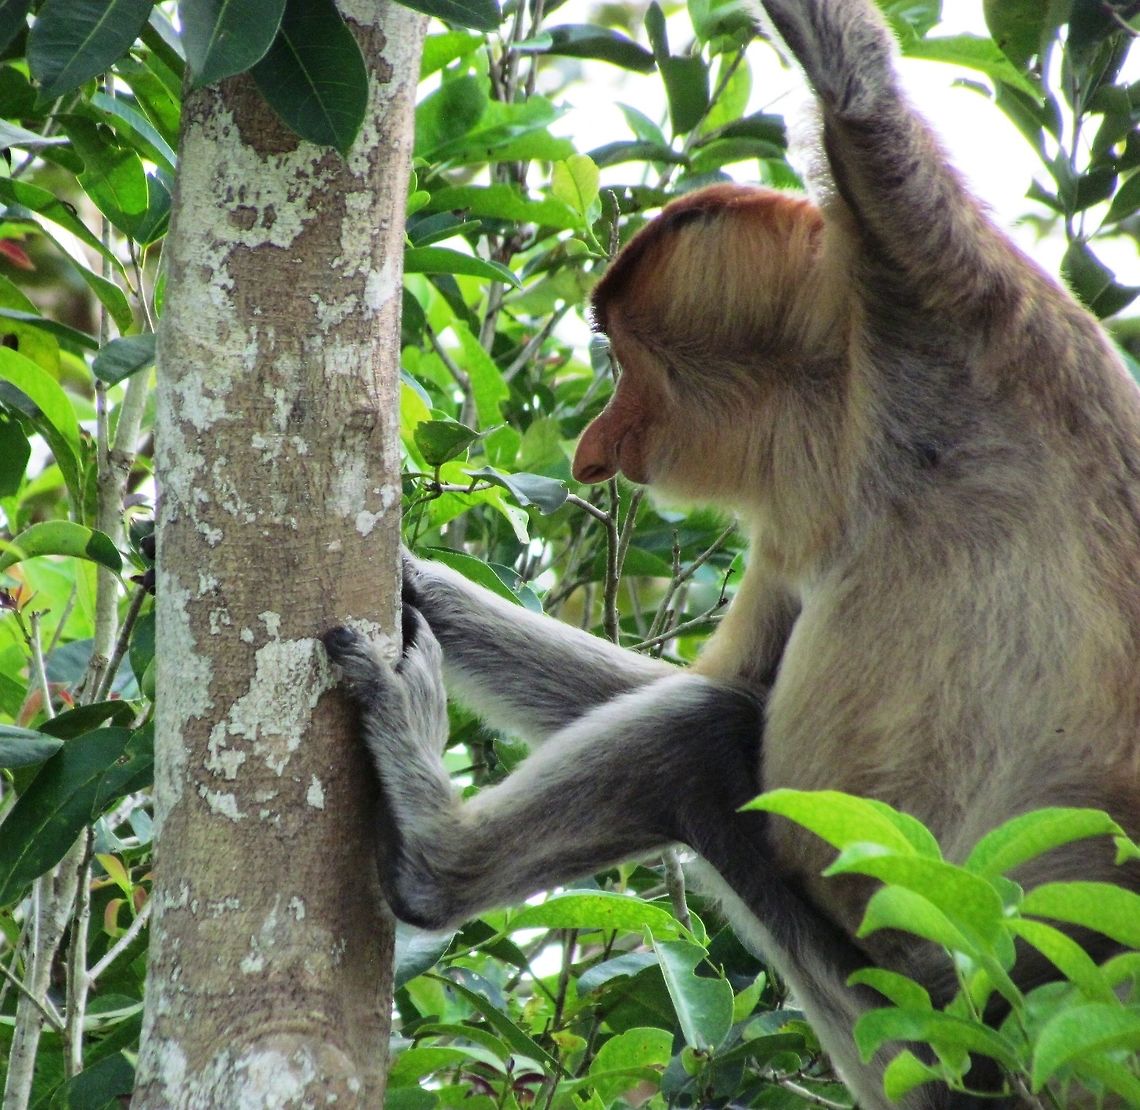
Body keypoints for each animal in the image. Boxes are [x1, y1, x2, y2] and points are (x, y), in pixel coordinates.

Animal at [322, 1, 1140, 1106]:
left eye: (626, 362)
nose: (595, 451)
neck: (846, 394)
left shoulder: (954, 292)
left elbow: (860, 91)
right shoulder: (800, 513)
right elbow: (745, 691)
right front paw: (421, 579)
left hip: (959, 1008)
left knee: (695, 731)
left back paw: (431, 861)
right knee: (716, 742)